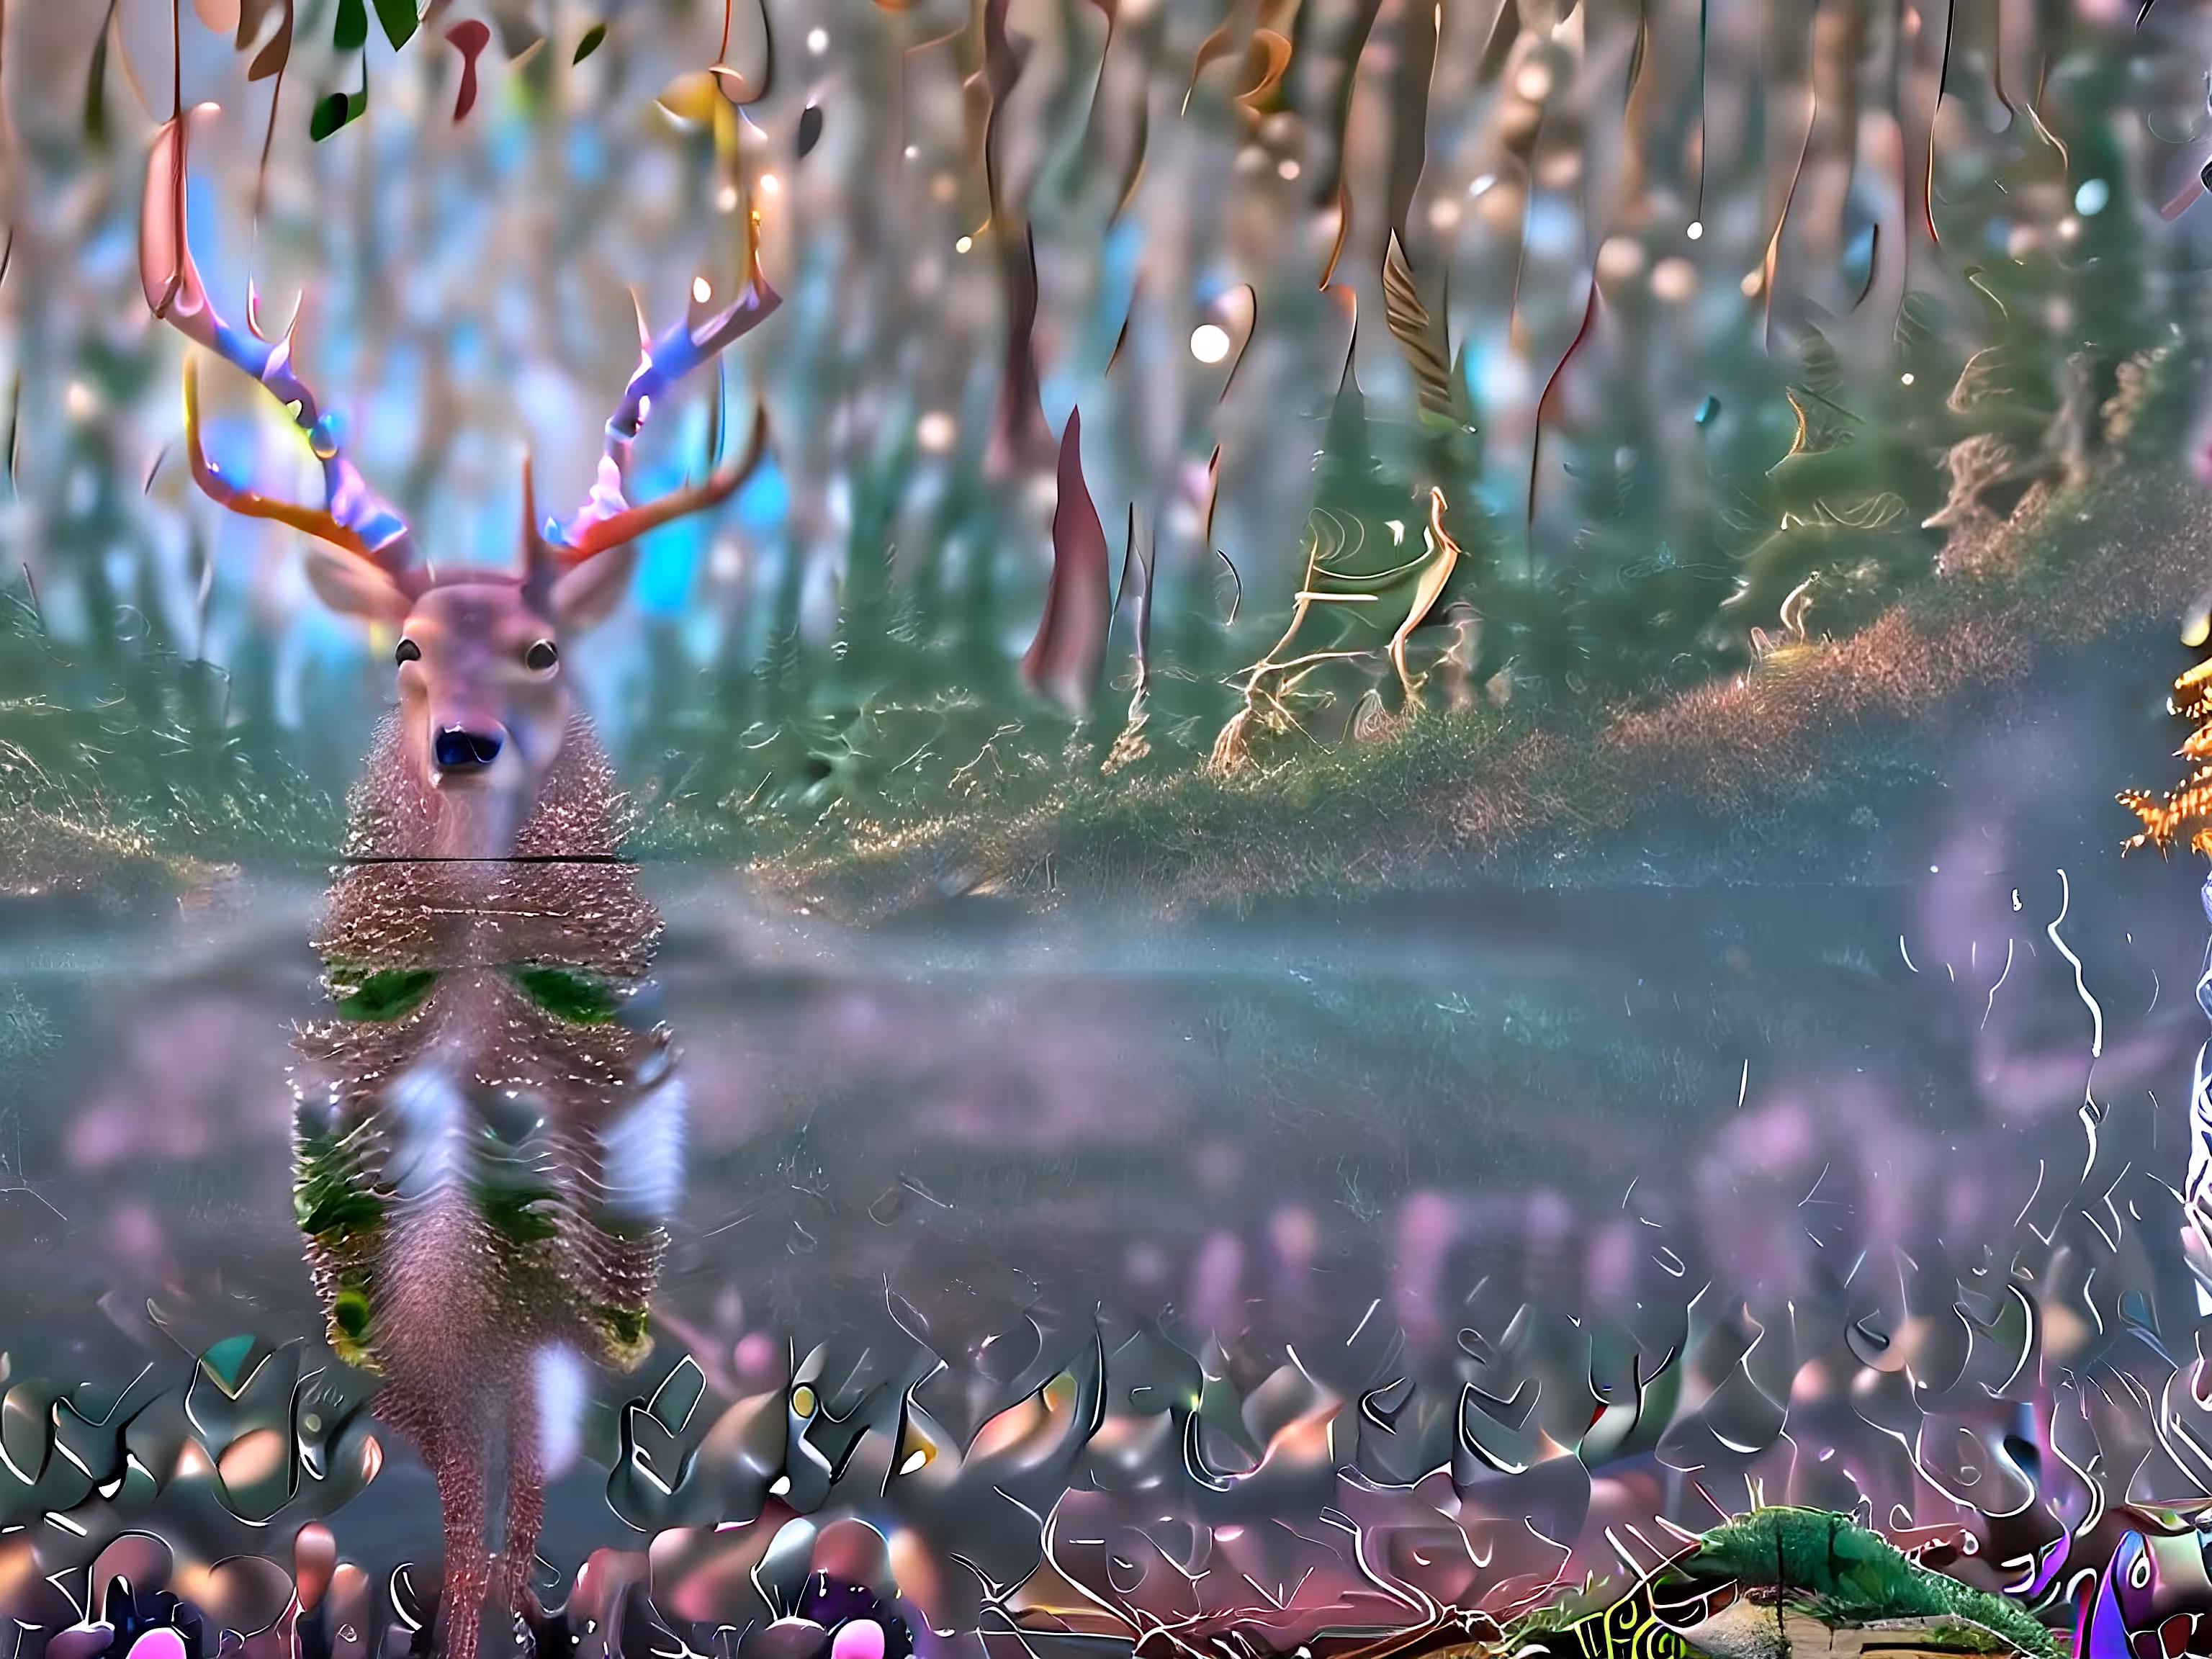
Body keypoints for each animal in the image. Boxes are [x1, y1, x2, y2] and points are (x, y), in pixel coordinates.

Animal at [138, 106, 778, 1659]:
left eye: (544, 651)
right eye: (407, 648)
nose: (465, 741)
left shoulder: (551, 1317)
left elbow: (518, 1511)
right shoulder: (407, 1325)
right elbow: (462, 1519)